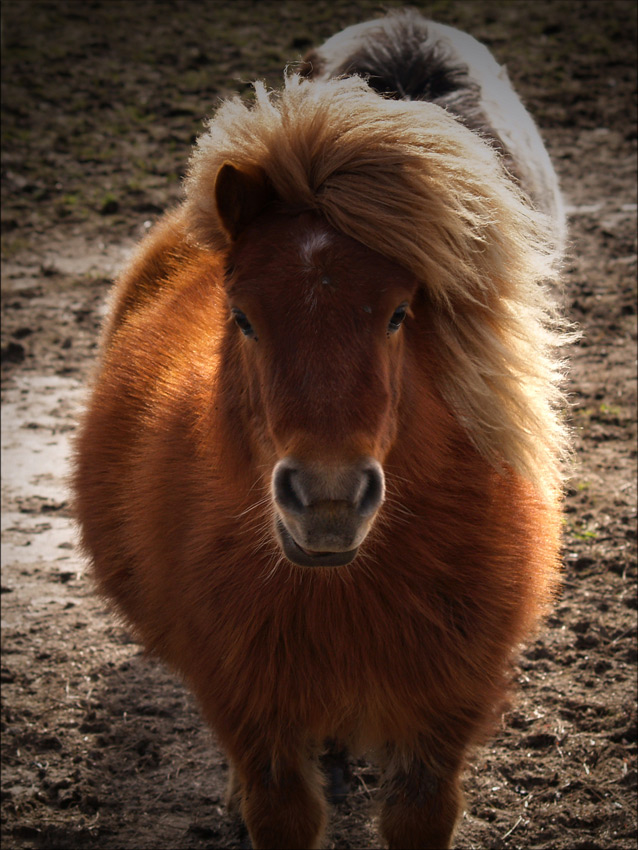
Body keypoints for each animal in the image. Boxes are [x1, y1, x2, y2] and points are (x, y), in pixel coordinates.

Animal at [74, 8, 568, 848]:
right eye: (242, 316)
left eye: (400, 313)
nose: (329, 501)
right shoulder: (252, 715)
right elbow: (279, 810)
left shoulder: (442, 722)